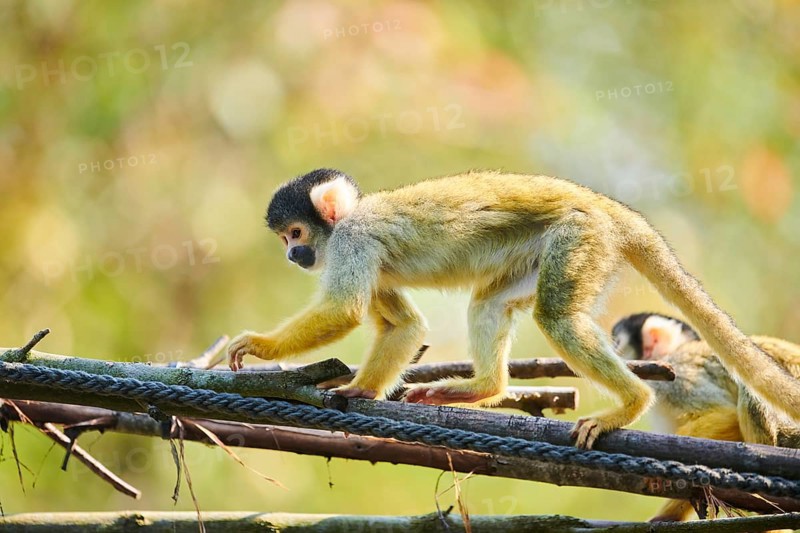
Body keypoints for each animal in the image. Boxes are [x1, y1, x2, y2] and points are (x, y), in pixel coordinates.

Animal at [227, 168, 800, 449]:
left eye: (295, 234)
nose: (293, 255)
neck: (346, 220)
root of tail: (610, 208)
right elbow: (402, 323)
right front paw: (362, 391)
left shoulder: (353, 240)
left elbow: (345, 310)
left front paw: (258, 345)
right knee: (492, 300)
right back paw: (485, 388)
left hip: (580, 236)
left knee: (556, 317)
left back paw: (632, 401)